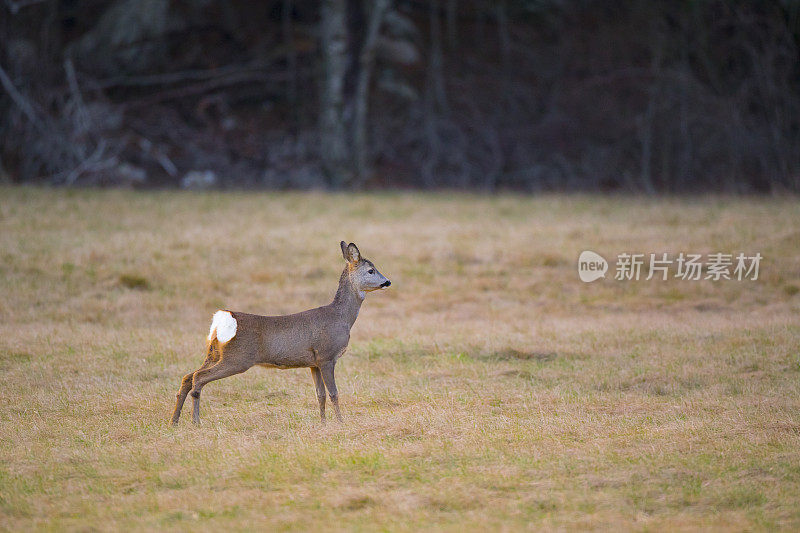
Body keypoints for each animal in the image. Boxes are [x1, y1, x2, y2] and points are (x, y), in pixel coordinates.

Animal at [171, 241, 390, 424]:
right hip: (237, 358)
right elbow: (334, 393)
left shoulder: (313, 363)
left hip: (213, 352)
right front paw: (340, 422)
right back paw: (195, 422)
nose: (387, 282)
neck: (341, 317)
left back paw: (174, 421)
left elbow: (320, 395)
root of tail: (223, 318)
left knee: (187, 376)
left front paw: (323, 423)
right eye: (371, 270)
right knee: (198, 377)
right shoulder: (327, 355)